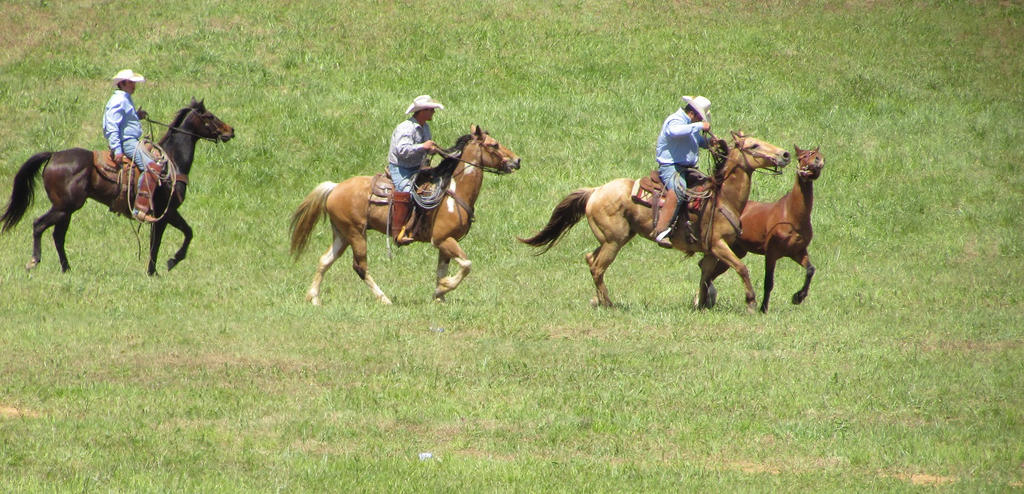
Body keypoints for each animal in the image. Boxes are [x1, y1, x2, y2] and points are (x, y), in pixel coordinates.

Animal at [0, 98, 235, 275]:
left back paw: (67, 269)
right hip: (63, 208)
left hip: (66, 211)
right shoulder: (166, 213)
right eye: (210, 116)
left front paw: (155, 270)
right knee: (39, 225)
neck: (171, 162)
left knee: (58, 236)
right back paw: (34, 261)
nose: (230, 130)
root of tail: (54, 155)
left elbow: (163, 240)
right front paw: (166, 264)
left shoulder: (161, 216)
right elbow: (179, 236)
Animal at [289, 125, 521, 305]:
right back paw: (384, 299)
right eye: (494, 145)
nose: (517, 160)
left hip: (342, 233)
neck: (452, 192)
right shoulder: (442, 239)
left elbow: (442, 270)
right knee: (360, 267)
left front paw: (440, 296)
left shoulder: (446, 243)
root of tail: (335, 187)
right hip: (356, 234)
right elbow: (466, 265)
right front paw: (443, 288)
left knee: (325, 260)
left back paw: (314, 298)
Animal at [519, 131, 790, 313]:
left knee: (590, 259)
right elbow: (741, 268)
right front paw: (751, 303)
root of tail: (595, 191)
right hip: (614, 241)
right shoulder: (719, 245)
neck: (722, 197)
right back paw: (609, 304)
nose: (785, 154)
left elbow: (705, 274)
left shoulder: (711, 251)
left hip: (613, 239)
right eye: (754, 145)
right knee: (597, 267)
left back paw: (598, 300)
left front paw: (701, 304)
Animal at [701, 145, 824, 312]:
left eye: (817, 154)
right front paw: (763, 308)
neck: (792, 215)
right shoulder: (771, 253)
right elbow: (768, 282)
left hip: (736, 252)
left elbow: (810, 270)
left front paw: (798, 297)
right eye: (801, 157)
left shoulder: (797, 252)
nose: (818, 161)